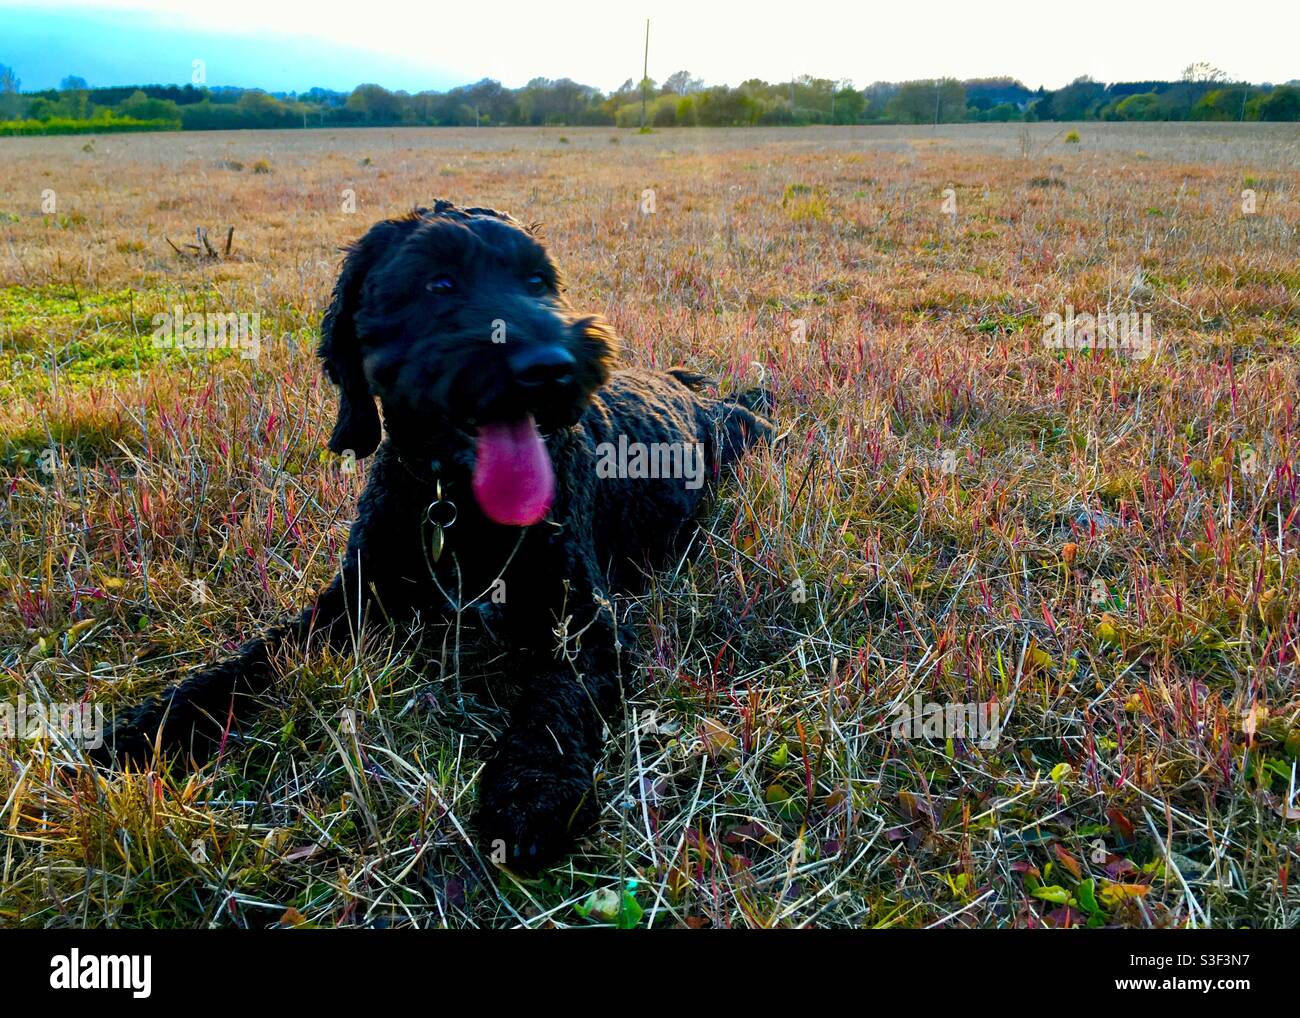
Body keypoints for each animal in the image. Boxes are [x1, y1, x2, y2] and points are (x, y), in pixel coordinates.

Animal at [104, 202, 769, 873]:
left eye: (537, 282)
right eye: (439, 284)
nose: (552, 365)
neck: (453, 506)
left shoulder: (584, 621)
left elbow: (554, 700)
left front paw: (533, 786)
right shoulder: (352, 597)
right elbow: (255, 658)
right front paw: (151, 726)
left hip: (741, 433)